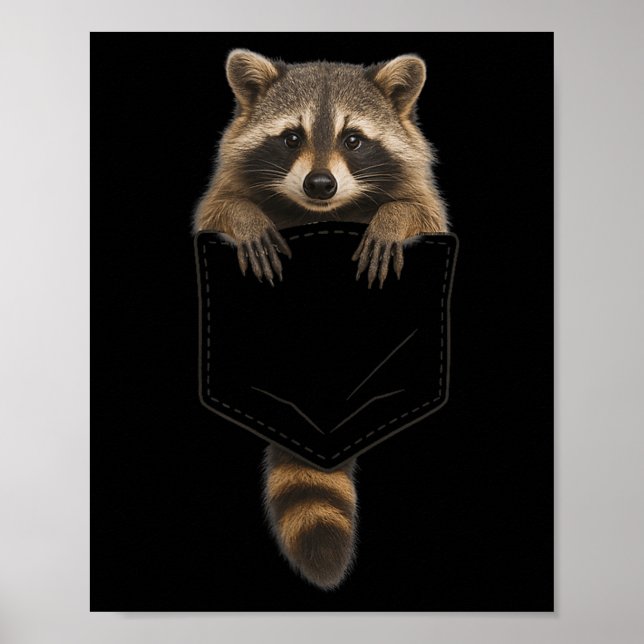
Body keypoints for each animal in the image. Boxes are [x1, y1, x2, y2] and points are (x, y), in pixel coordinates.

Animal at [194, 49, 448, 589]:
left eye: (354, 140)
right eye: (292, 138)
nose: (320, 184)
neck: (319, 211)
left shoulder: (421, 191)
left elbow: (418, 210)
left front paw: (392, 220)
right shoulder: (226, 183)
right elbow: (221, 207)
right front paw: (245, 218)